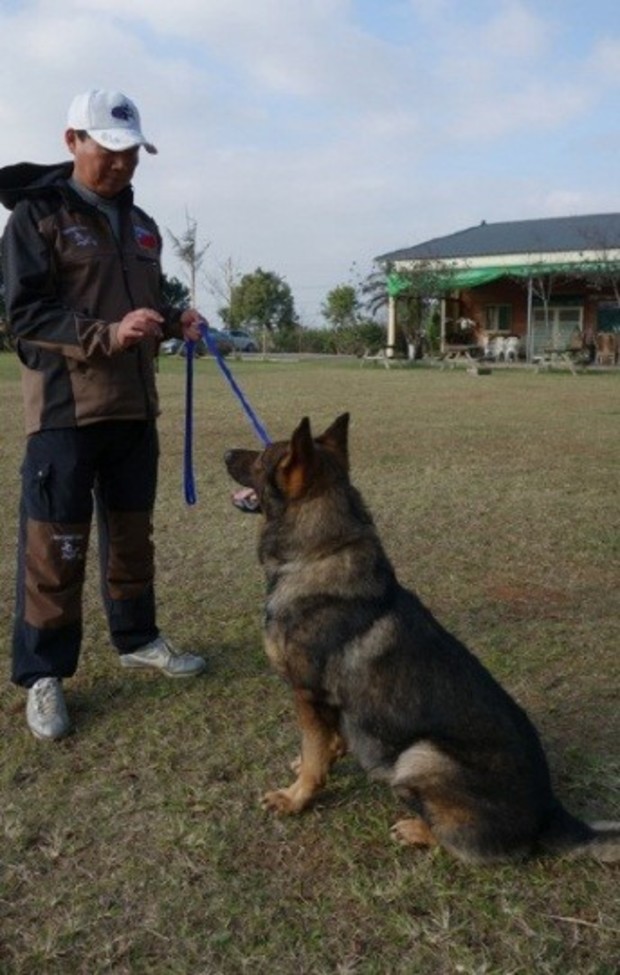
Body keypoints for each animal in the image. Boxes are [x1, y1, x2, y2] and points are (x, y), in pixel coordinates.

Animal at [226, 416, 620, 864]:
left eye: (261, 458)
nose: (225, 453)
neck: (319, 555)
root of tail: (549, 812)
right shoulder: (328, 701)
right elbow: (326, 740)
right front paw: (331, 754)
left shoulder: (306, 692)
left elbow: (313, 757)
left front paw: (295, 798)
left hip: (420, 756)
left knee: (462, 843)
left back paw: (416, 829)